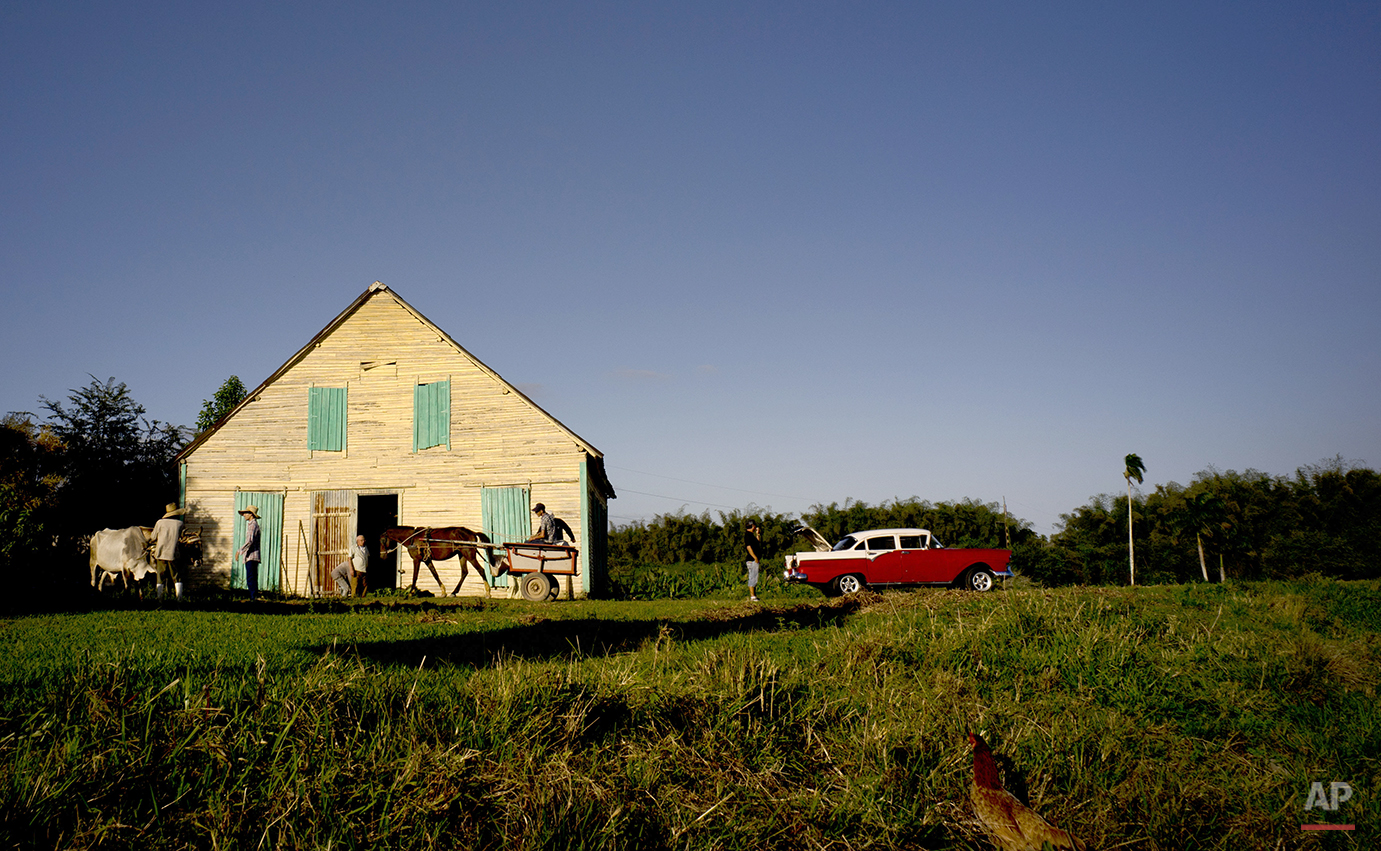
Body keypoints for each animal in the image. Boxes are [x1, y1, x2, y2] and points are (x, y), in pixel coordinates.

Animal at [378, 524, 508, 599]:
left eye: (382, 540)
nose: (382, 556)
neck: (413, 537)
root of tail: (471, 532)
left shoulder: (417, 560)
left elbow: (415, 576)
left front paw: (410, 593)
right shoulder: (427, 560)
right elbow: (435, 574)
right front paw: (443, 592)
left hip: (469, 555)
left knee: (480, 570)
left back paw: (488, 593)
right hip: (462, 555)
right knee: (464, 572)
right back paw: (453, 592)